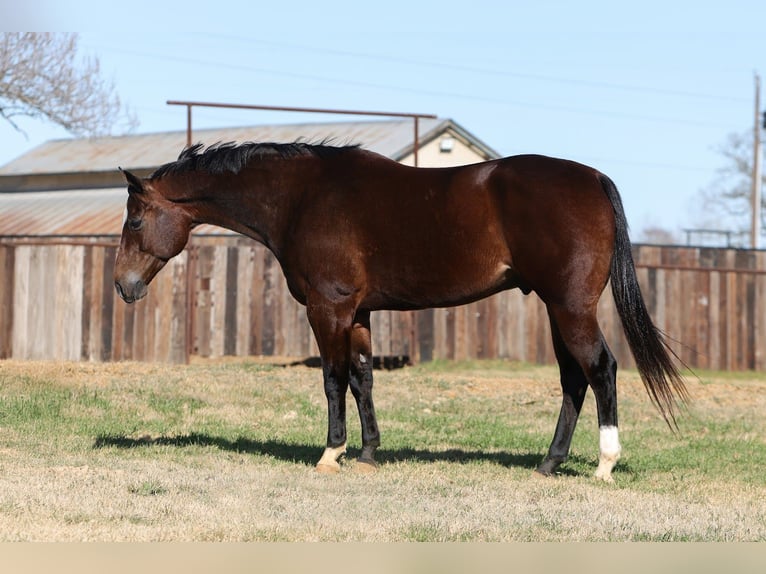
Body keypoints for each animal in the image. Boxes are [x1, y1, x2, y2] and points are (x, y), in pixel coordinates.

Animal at [114, 141, 688, 482]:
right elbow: (363, 379)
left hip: (571, 308)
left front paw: (331, 453)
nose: (123, 285)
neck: (303, 198)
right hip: (556, 310)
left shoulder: (328, 309)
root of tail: (593, 178)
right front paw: (368, 453)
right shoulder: (359, 313)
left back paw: (604, 464)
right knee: (574, 379)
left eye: (136, 220)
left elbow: (332, 379)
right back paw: (549, 462)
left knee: (601, 369)